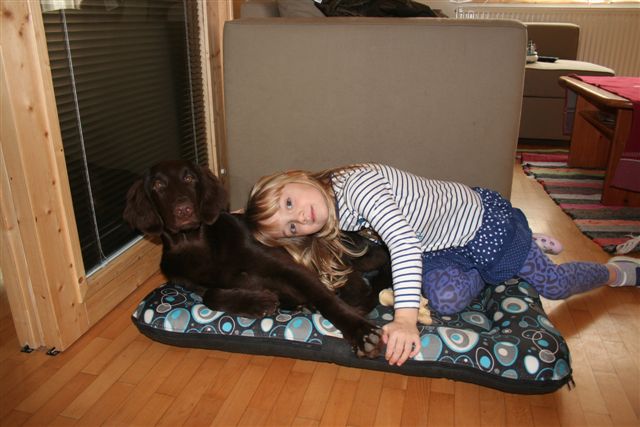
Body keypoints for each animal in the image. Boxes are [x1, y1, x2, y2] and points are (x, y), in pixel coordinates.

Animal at [123, 160, 390, 358]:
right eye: (158, 185)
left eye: (189, 178)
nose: (184, 210)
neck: (195, 244)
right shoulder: (193, 285)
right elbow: (211, 295)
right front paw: (258, 301)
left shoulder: (286, 267)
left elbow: (325, 298)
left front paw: (361, 333)